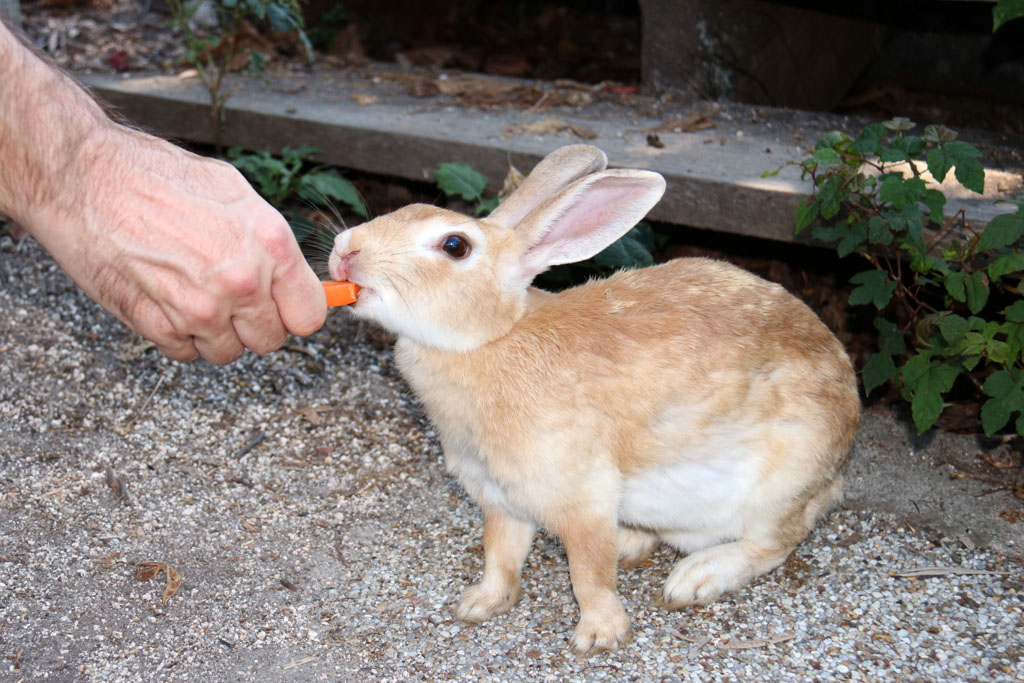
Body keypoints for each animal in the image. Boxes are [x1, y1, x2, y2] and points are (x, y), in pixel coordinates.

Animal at [327, 144, 861, 653]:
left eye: (454, 246)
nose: (344, 251)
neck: (492, 338)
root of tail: (839, 462)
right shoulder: (501, 500)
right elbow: (500, 554)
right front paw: (480, 605)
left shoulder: (582, 497)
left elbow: (588, 574)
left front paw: (600, 635)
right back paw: (632, 542)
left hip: (781, 483)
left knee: (775, 543)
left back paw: (695, 578)